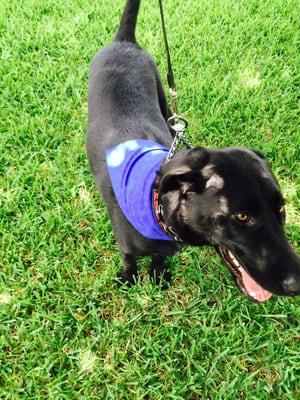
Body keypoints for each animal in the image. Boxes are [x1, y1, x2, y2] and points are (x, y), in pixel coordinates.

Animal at [85, 0, 298, 300]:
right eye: (241, 216)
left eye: (281, 207)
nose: (297, 284)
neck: (157, 208)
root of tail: (123, 41)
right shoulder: (126, 245)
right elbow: (128, 258)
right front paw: (129, 276)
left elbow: (159, 257)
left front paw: (158, 273)